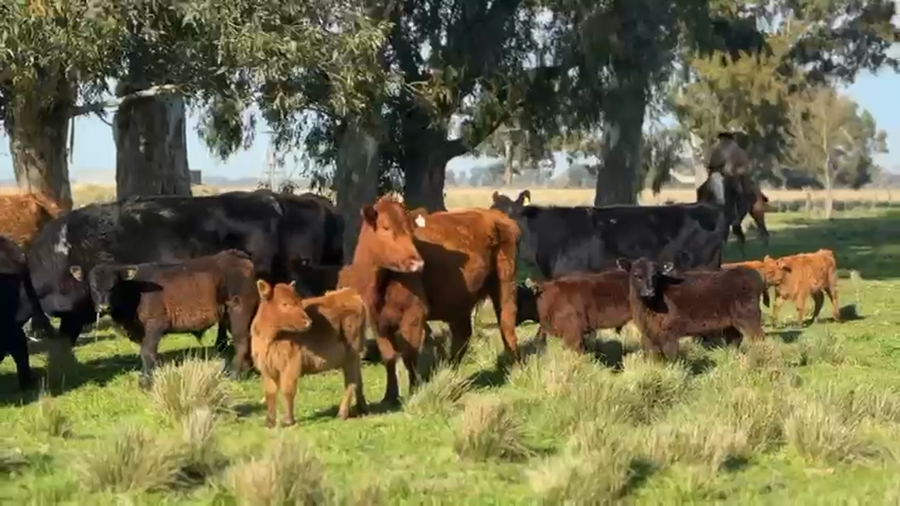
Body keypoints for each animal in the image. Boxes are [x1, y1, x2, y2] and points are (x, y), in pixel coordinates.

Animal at [76, 250, 259, 388]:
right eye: (92, 286)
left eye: (114, 286)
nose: (104, 307)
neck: (135, 291)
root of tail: (237, 255)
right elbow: (151, 355)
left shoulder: (155, 324)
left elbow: (147, 353)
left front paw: (146, 383)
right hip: (229, 316)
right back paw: (245, 371)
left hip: (239, 311)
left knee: (242, 342)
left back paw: (234, 374)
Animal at [251, 280, 368, 428]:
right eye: (285, 303)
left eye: (299, 302)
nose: (308, 322)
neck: (271, 338)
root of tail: (350, 293)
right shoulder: (266, 368)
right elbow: (270, 392)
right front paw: (270, 421)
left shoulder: (290, 365)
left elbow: (287, 390)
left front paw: (288, 420)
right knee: (358, 379)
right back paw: (361, 408)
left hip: (352, 355)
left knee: (351, 382)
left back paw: (342, 413)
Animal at [338, 196, 520, 405]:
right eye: (385, 227)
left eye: (411, 231)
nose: (417, 263)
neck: (381, 283)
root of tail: (496, 216)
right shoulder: (377, 321)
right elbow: (389, 357)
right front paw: (390, 395)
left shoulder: (414, 315)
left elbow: (409, 356)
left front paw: (414, 390)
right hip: (459, 303)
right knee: (462, 337)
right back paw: (450, 374)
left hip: (505, 284)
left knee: (507, 326)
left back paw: (515, 369)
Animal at [617, 257, 765, 359]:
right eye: (636, 275)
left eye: (656, 275)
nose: (649, 292)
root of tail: (752, 273)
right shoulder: (648, 334)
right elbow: (653, 357)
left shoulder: (669, 332)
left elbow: (671, 356)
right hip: (731, 323)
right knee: (736, 339)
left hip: (750, 316)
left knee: (758, 338)